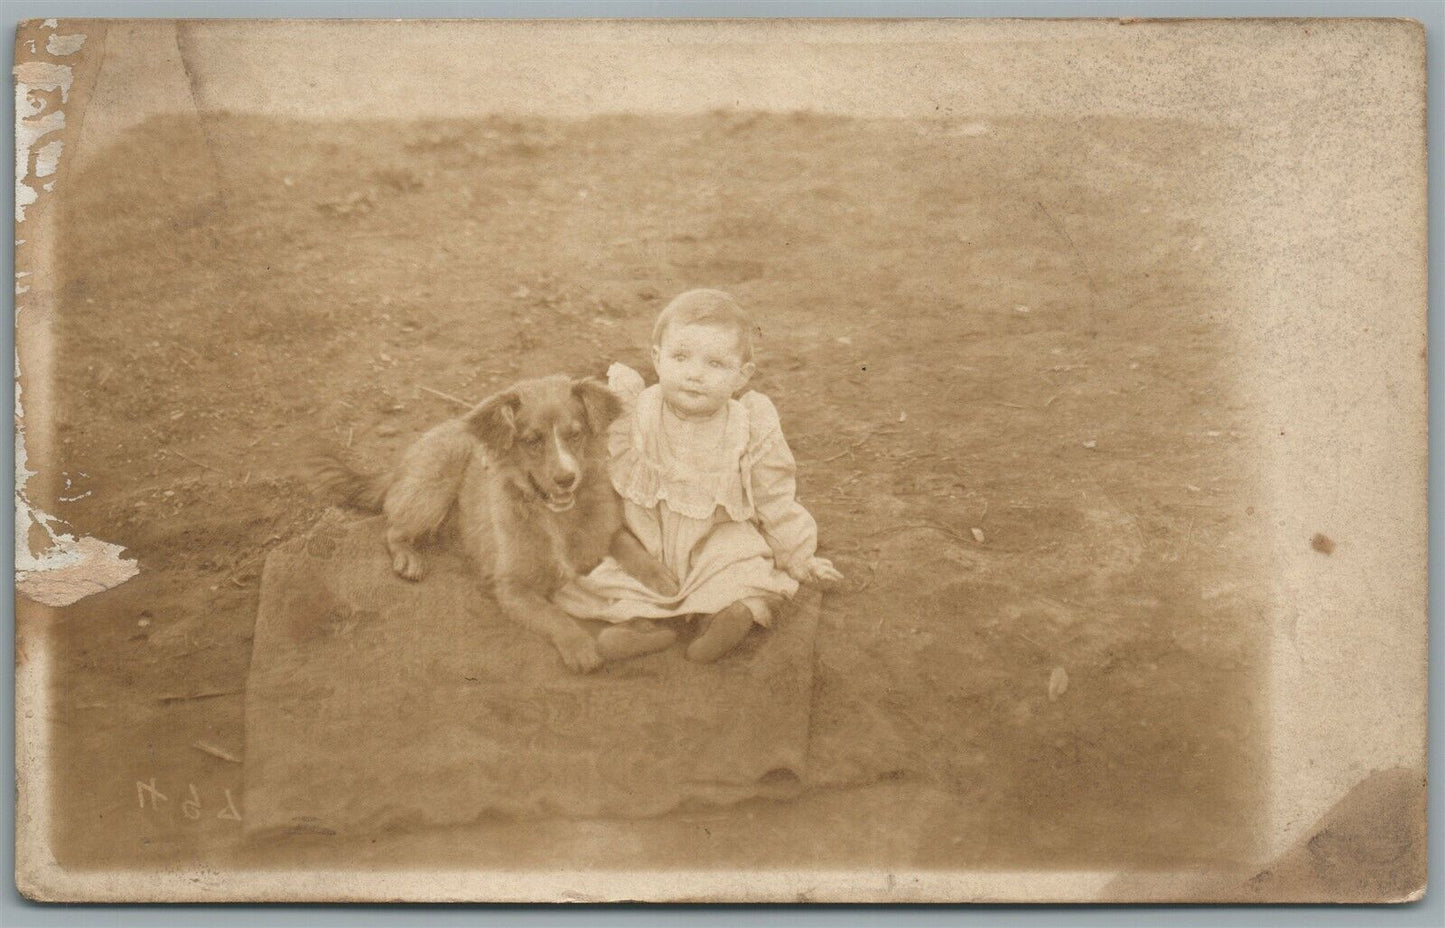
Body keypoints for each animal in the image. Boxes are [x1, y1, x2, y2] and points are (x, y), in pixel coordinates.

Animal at [309, 370, 676, 670]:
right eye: (532, 440)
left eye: (575, 434)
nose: (566, 479)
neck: (555, 517)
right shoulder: (512, 588)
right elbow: (552, 615)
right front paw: (579, 645)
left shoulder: (605, 532)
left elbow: (631, 546)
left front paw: (662, 578)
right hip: (434, 486)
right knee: (392, 526)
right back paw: (408, 557)